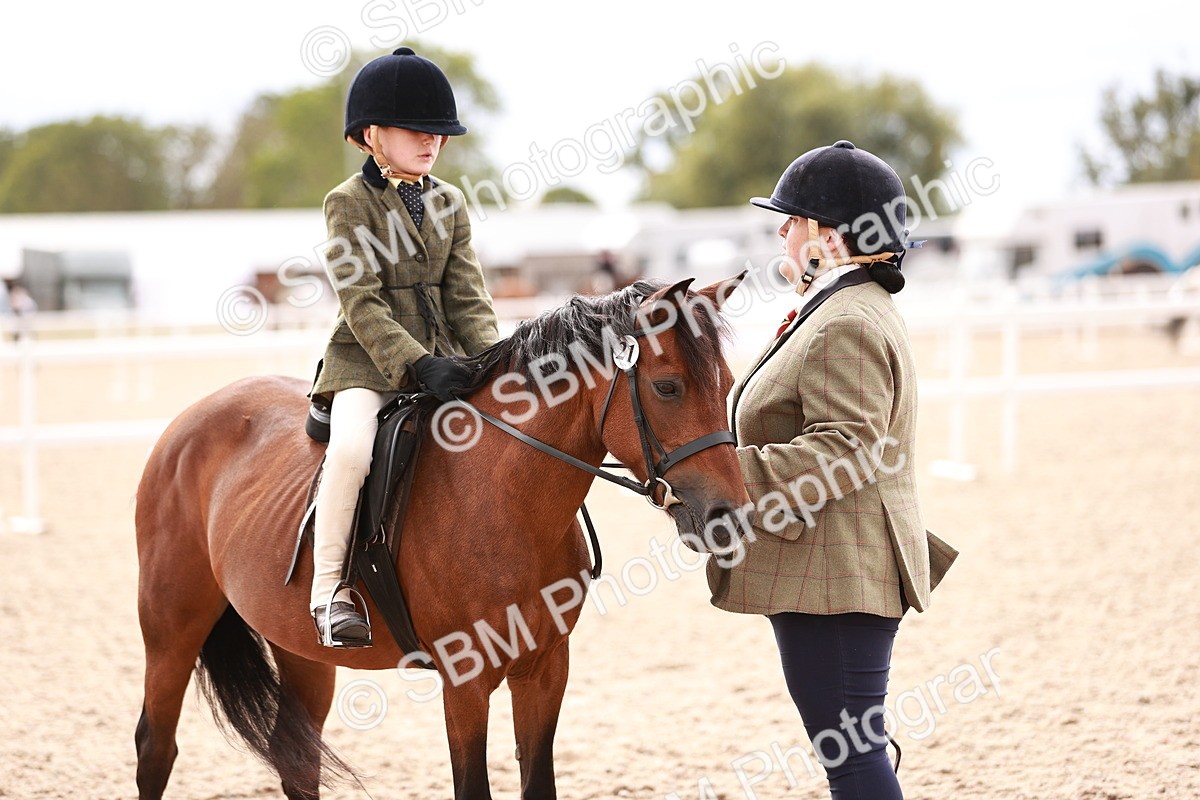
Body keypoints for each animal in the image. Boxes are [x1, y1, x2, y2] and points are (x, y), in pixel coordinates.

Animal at [133, 274, 753, 799]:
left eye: (727, 384)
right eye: (667, 387)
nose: (730, 515)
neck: (507, 499)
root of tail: (190, 422)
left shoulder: (545, 669)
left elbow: (538, 783)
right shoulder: (466, 681)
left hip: (302, 649)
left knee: (297, 761)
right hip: (171, 630)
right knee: (155, 748)